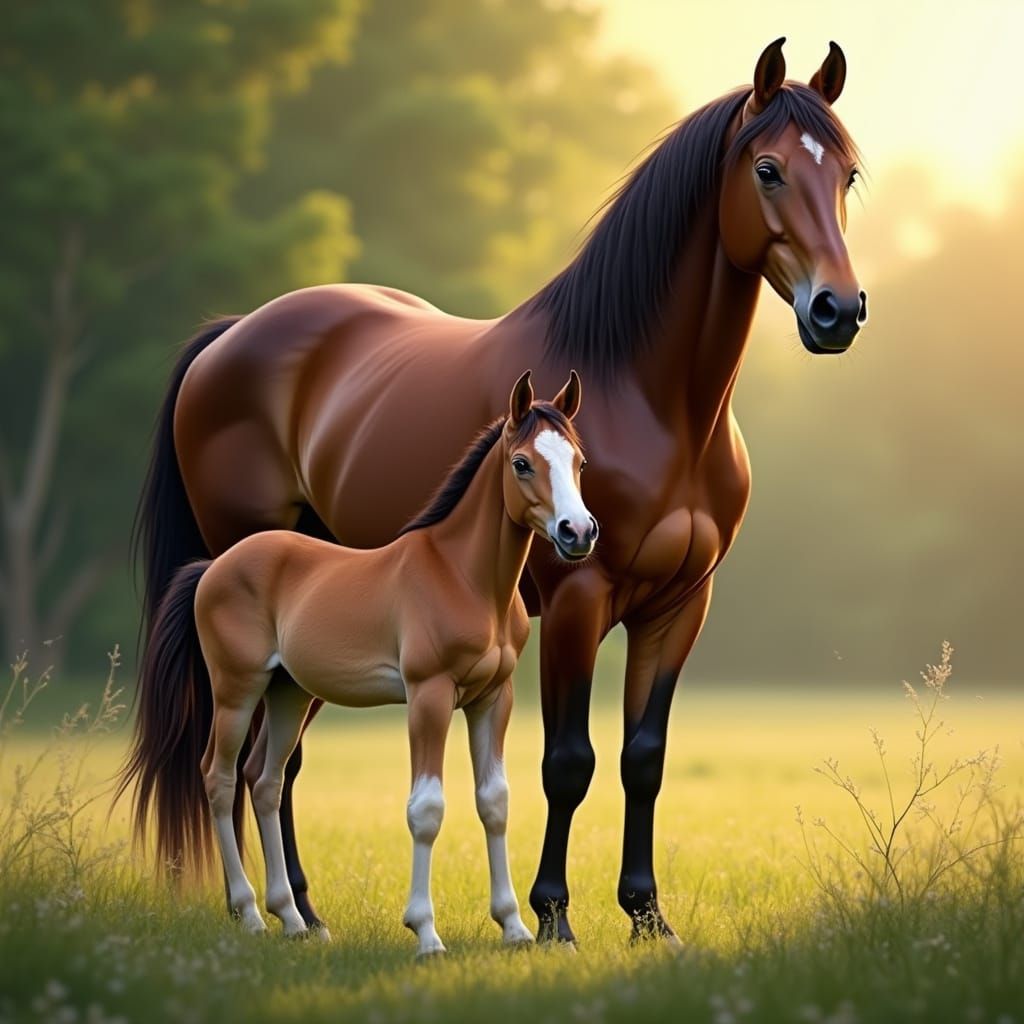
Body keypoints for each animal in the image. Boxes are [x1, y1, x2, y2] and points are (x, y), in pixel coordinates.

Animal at [134, 372, 594, 954]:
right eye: (522, 463)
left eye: (579, 461)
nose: (578, 532)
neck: (462, 577)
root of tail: (214, 566)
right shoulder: (429, 695)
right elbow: (426, 809)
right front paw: (426, 933)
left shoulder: (493, 698)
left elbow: (495, 802)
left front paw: (513, 928)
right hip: (236, 690)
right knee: (218, 777)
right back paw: (251, 915)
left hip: (288, 693)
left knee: (264, 781)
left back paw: (293, 920)